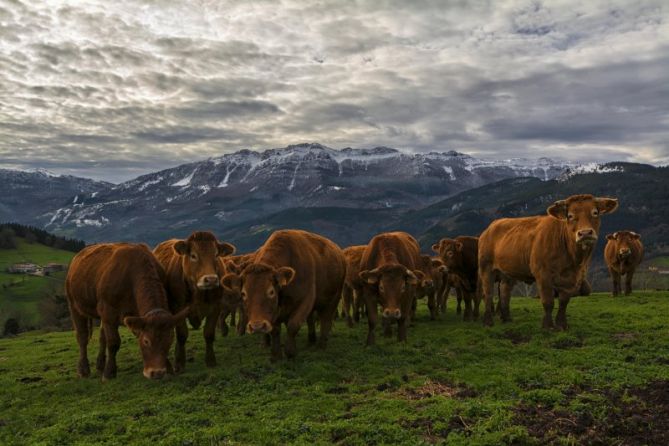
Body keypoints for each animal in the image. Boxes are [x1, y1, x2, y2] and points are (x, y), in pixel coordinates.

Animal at [66, 244, 188, 380]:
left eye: (169, 340)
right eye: (146, 341)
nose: (156, 372)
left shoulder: (136, 317)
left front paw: (168, 367)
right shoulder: (108, 312)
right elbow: (113, 343)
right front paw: (109, 372)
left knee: (102, 337)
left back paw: (100, 365)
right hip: (74, 305)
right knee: (82, 337)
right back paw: (83, 370)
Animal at [153, 232, 236, 372]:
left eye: (216, 254)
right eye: (193, 255)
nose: (211, 279)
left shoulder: (215, 307)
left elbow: (209, 333)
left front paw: (210, 360)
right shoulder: (178, 308)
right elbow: (181, 335)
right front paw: (179, 363)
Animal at [222, 232, 344, 360]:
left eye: (271, 292)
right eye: (243, 293)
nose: (257, 326)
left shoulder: (306, 300)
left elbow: (293, 325)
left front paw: (290, 352)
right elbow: (275, 330)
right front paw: (276, 354)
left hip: (333, 300)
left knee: (326, 320)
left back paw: (321, 345)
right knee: (311, 320)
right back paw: (311, 340)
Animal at [478, 193, 620, 330]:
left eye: (595, 212)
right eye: (570, 216)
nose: (585, 233)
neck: (573, 260)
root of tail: (490, 227)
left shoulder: (572, 279)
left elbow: (564, 302)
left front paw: (562, 324)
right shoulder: (543, 275)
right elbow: (548, 302)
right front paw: (548, 326)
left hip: (508, 272)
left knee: (505, 292)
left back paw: (507, 319)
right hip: (486, 268)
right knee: (488, 293)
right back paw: (488, 321)